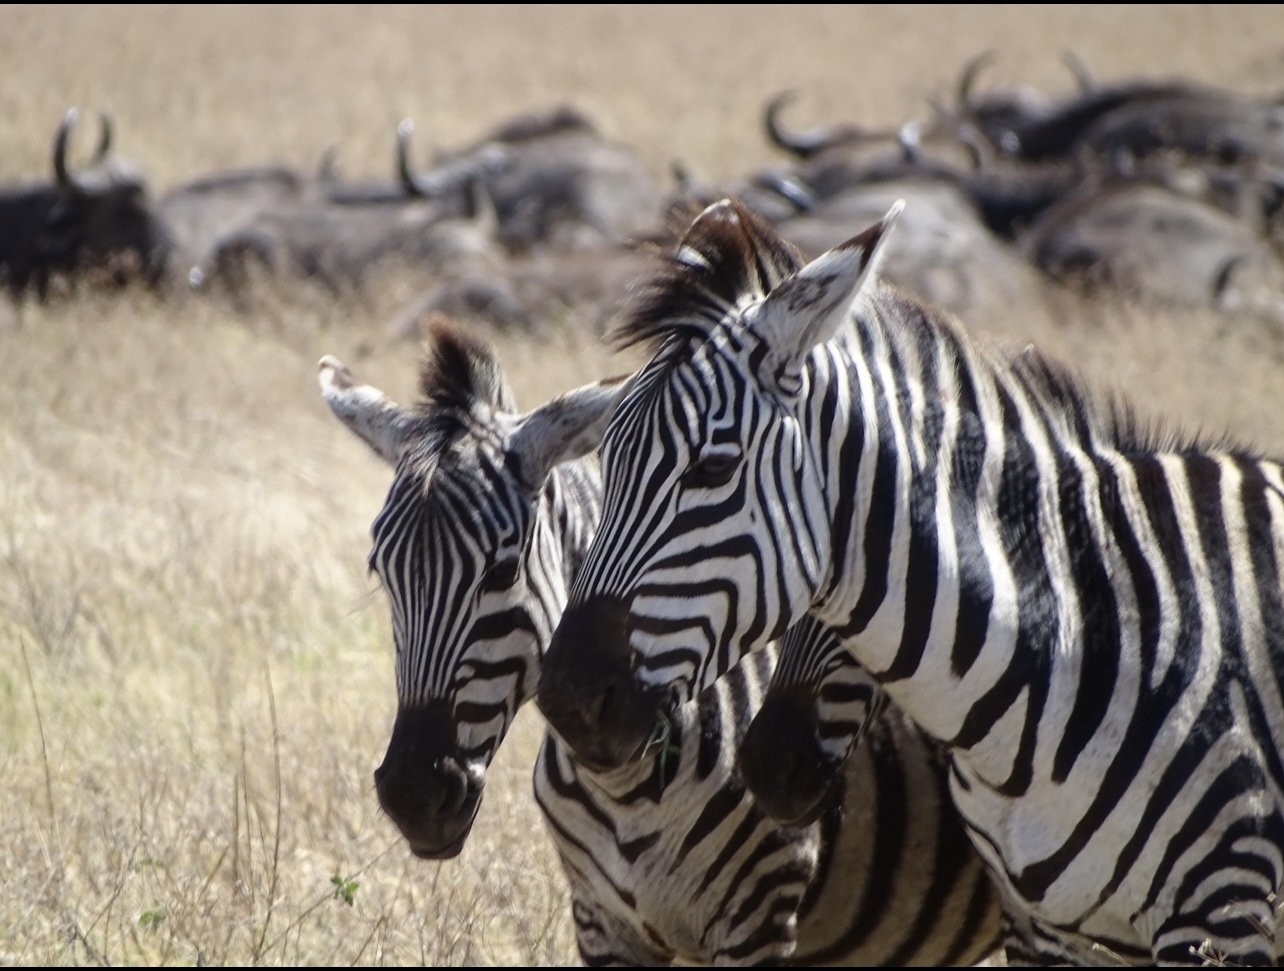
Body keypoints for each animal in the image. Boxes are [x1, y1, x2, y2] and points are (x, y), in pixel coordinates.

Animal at [318, 323, 1001, 965]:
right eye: (381, 572)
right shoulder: (599, 921)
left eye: (503, 570)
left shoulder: (760, 919)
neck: (623, 784)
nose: (413, 795)